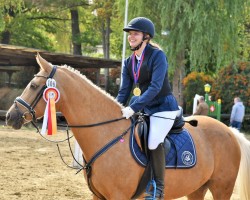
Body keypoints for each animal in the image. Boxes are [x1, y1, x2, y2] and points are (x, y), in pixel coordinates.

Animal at [5, 54, 250, 199]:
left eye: (33, 85)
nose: (10, 116)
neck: (105, 134)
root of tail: (229, 131)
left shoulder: (118, 196)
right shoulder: (99, 197)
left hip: (222, 188)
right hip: (197, 188)